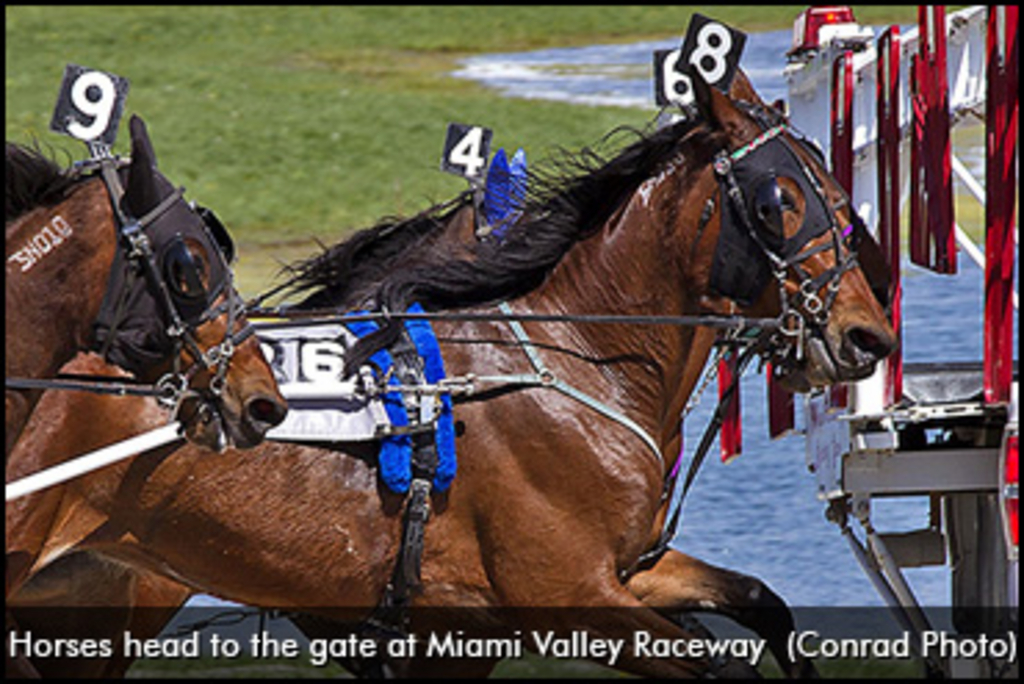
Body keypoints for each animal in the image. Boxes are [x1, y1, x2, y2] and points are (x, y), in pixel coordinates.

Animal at [6, 76, 888, 679]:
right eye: (780, 200)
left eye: (832, 186)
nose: (866, 334)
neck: (570, 357)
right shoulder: (564, 596)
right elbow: (716, 660)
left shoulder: (624, 573)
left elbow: (763, 603)